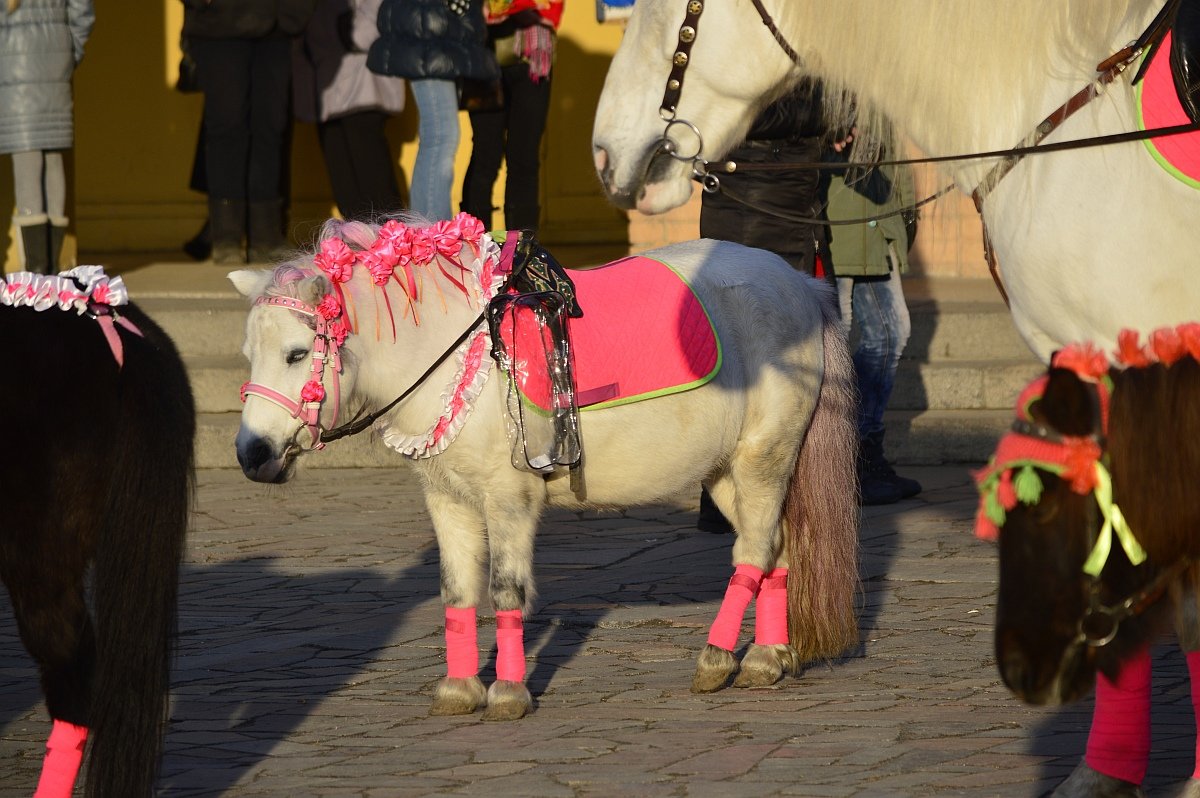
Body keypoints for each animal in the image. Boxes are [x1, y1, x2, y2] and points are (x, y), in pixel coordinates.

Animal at [226, 214, 864, 720]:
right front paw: (459, 689)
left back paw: (717, 658)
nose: (251, 454)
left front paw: (508, 694)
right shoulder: (448, 499)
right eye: (250, 354)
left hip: (764, 458)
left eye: (297, 354)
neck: (457, 355)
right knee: (776, 549)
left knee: (751, 552)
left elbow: (506, 590)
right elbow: (457, 590)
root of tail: (801, 284)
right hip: (726, 472)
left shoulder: (509, 498)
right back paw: (767, 657)